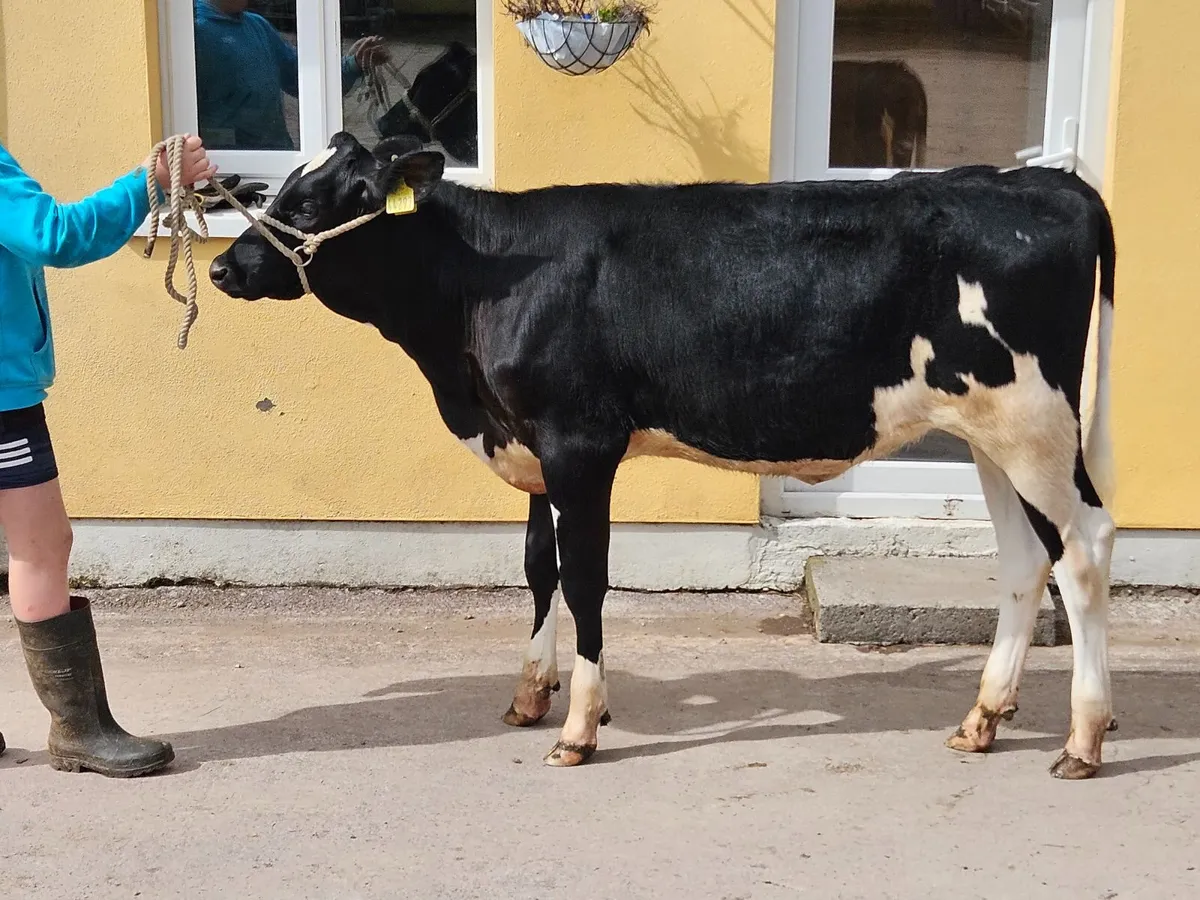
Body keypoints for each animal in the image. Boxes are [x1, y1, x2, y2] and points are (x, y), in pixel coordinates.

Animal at [208, 131, 1117, 779]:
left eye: (320, 199)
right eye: (277, 186)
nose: (222, 265)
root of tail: (1048, 183)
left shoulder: (579, 442)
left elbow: (585, 578)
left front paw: (580, 726)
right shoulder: (532, 442)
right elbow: (538, 566)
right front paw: (531, 694)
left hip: (1035, 422)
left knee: (1084, 549)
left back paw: (1083, 738)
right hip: (990, 434)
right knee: (1023, 561)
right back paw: (982, 720)